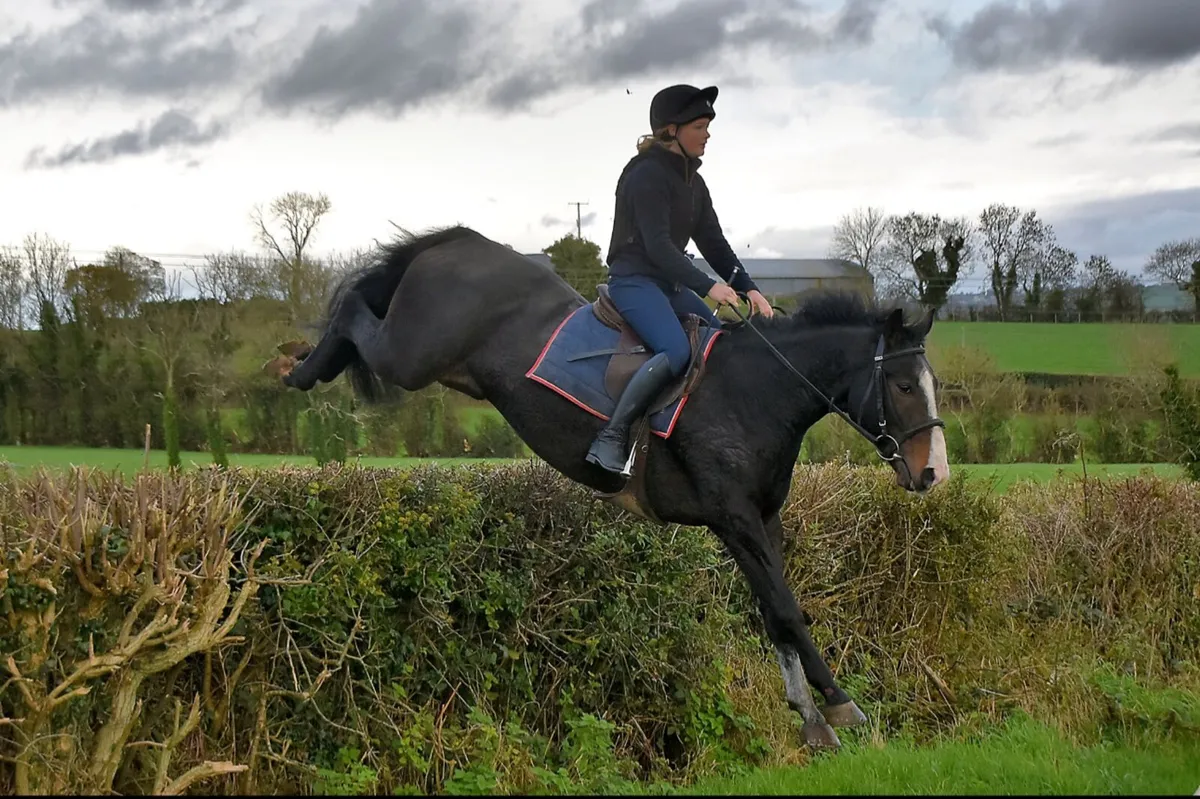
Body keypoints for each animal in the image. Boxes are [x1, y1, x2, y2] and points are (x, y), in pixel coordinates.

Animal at [269, 224, 950, 750]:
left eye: (932, 383)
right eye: (904, 386)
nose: (933, 473)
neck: (755, 392)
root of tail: (461, 241)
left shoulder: (762, 521)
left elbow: (775, 612)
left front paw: (809, 716)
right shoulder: (733, 519)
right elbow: (785, 608)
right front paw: (839, 703)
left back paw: (304, 364)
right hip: (413, 354)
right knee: (355, 315)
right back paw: (295, 365)